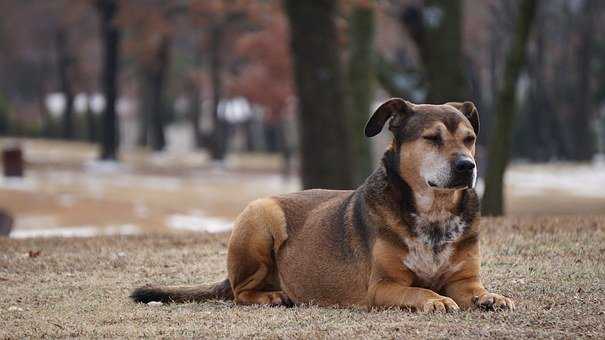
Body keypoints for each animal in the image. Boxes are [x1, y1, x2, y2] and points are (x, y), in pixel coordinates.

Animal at [132, 99, 516, 314]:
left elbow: (476, 290)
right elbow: (417, 289)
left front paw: (491, 298)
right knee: (240, 293)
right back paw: (273, 297)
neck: (434, 213)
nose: (467, 166)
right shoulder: (383, 287)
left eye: (469, 138)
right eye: (432, 138)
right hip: (260, 215)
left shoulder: (464, 280)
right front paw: (433, 299)